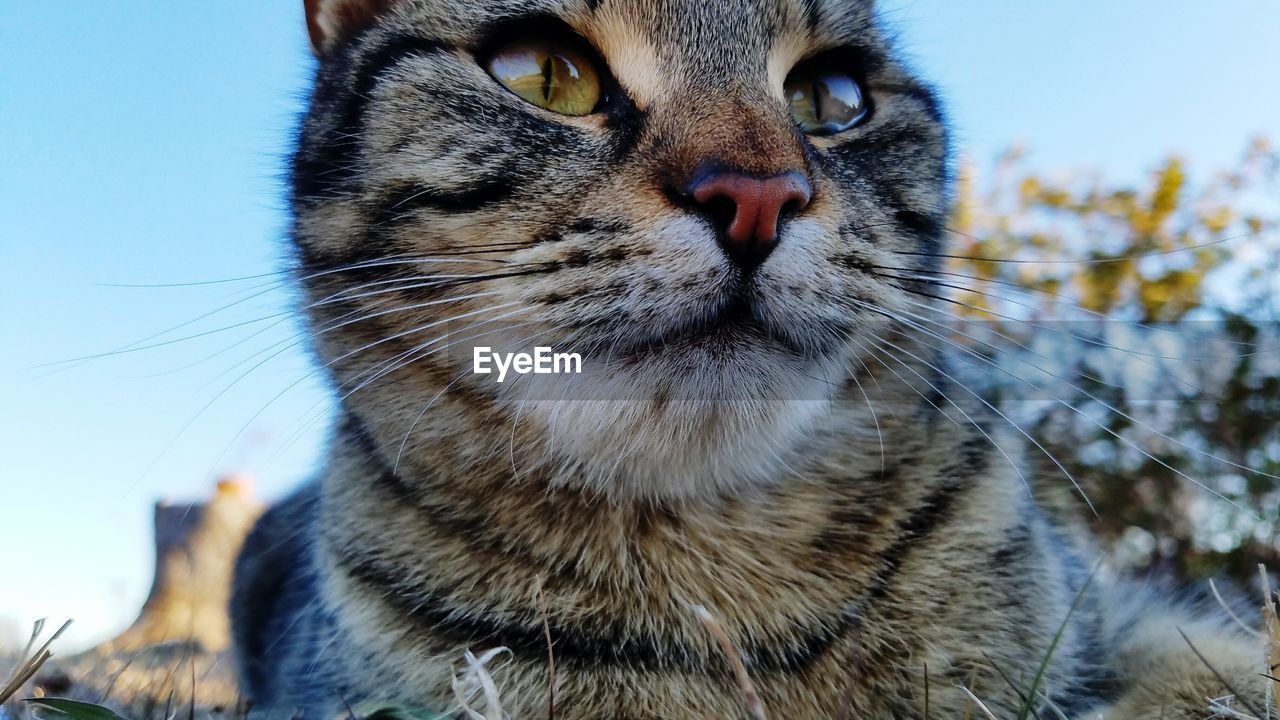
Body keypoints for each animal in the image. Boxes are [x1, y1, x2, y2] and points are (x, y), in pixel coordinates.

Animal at [232, 1, 1269, 712]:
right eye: (542, 72)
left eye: (834, 96)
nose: (759, 195)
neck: (728, 574)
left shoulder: (1116, 617)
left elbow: (1222, 665)